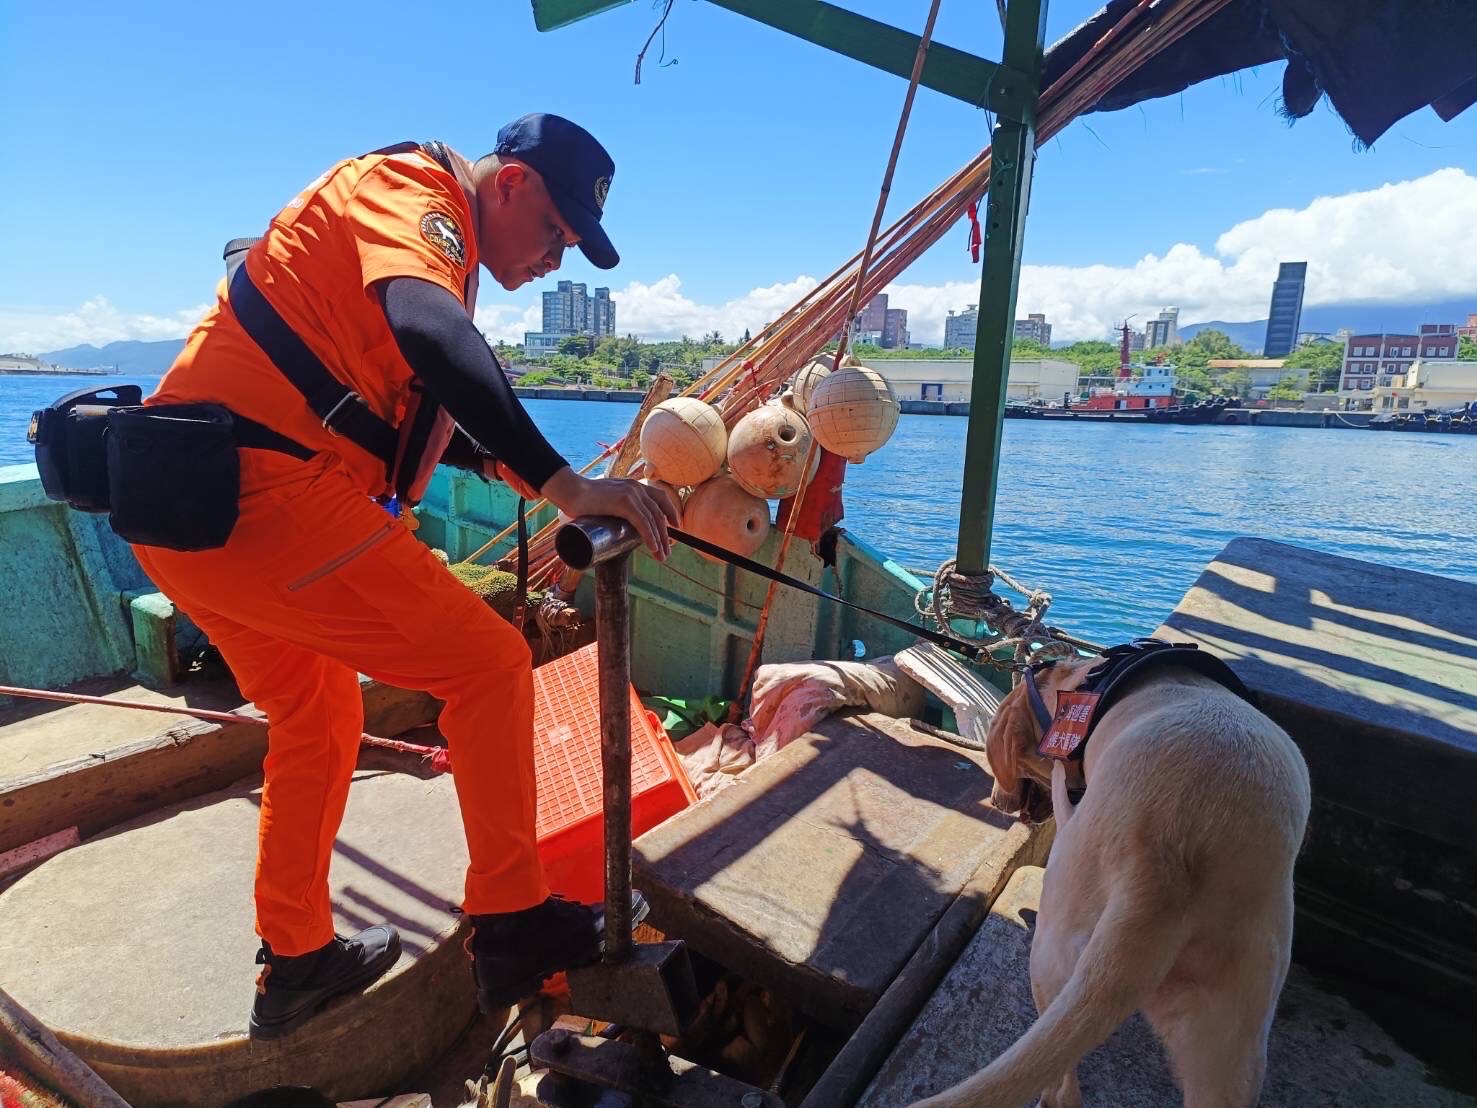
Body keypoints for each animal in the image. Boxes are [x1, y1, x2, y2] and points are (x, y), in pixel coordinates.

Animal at [915, 647, 1311, 1105]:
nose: (998, 801)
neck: (1075, 685)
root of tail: (1168, 873)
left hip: (1054, 948)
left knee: (1062, 1085)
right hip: (1232, 1034)